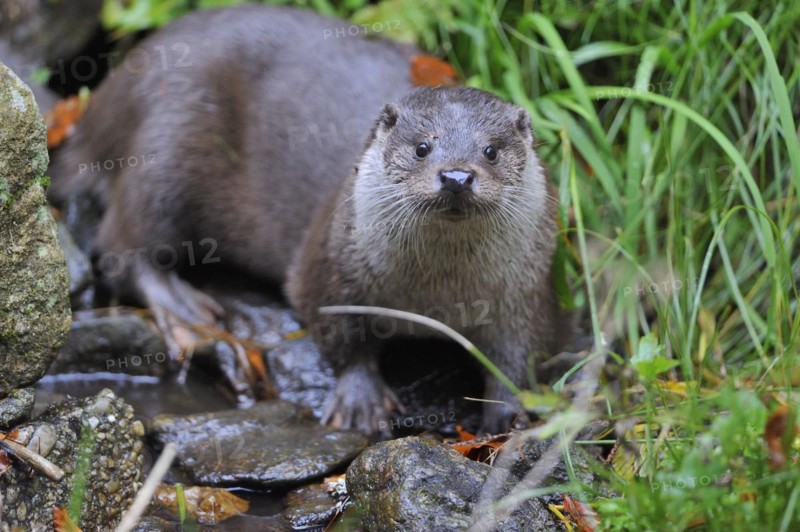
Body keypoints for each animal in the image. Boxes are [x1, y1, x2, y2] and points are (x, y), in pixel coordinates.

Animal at [47, 5, 566, 436]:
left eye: (491, 150)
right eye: (423, 147)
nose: (456, 175)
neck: (435, 296)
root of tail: (109, 96)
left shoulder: (525, 295)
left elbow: (520, 355)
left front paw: (508, 415)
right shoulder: (330, 266)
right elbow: (338, 333)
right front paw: (360, 400)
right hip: (165, 146)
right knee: (122, 244)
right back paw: (185, 311)